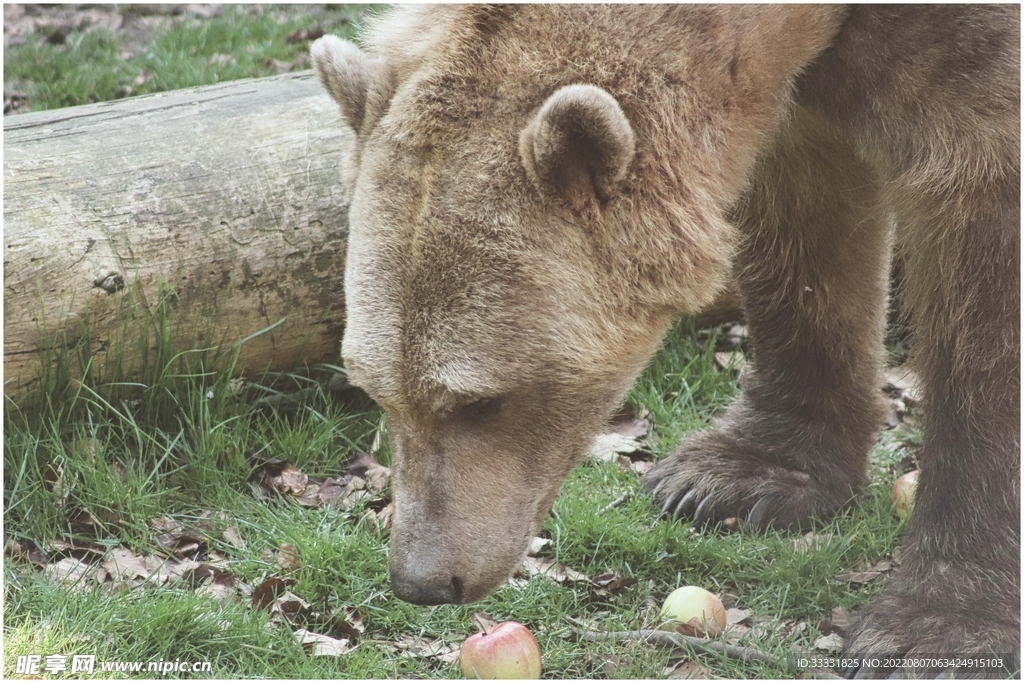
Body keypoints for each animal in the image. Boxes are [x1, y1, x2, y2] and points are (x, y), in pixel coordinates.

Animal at [309, 5, 1015, 679]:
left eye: (480, 401)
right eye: (377, 390)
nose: (422, 580)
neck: (814, 14)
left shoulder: (971, 65)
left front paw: (939, 618)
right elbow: (805, 225)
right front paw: (736, 475)